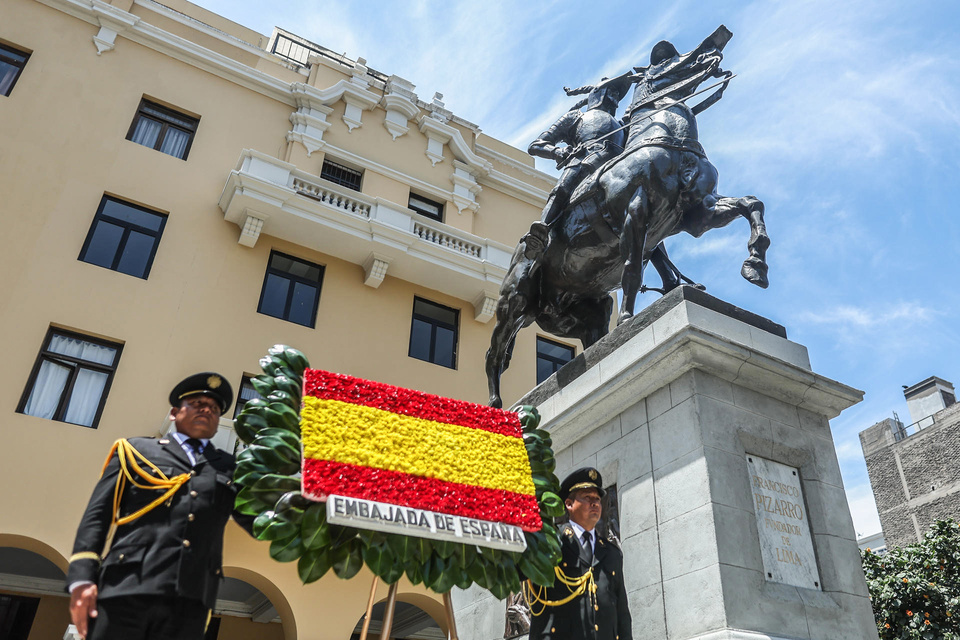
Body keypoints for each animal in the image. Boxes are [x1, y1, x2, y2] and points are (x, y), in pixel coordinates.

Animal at [484, 26, 768, 404]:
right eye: (663, 57)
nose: (715, 45)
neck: (666, 138)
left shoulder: (699, 212)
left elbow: (751, 205)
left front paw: (755, 265)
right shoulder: (635, 209)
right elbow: (633, 265)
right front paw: (630, 318)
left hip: (583, 312)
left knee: (589, 340)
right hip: (514, 302)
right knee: (494, 354)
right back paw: (496, 405)